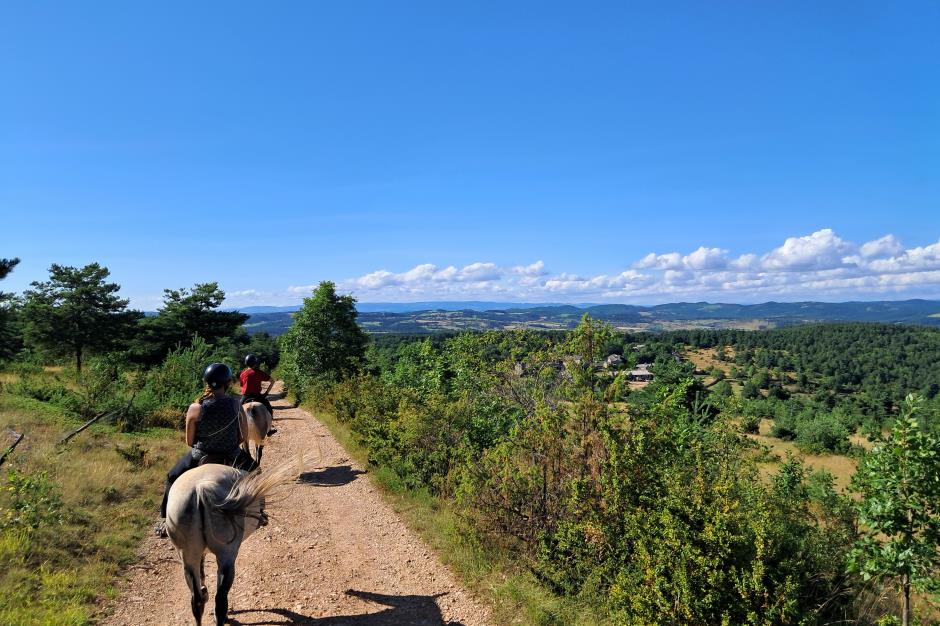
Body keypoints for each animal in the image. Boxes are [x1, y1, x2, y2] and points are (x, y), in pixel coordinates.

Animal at [164, 456, 298, 620]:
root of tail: (201, 489)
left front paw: (204, 590)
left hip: (188, 555)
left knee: (196, 601)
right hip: (227, 554)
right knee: (221, 599)